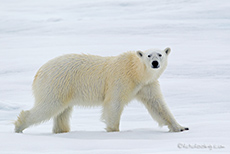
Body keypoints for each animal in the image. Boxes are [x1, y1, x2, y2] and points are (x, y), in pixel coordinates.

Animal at [15, 47, 190, 133]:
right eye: (148, 55)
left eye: (160, 54)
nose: (155, 63)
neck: (136, 72)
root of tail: (39, 71)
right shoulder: (120, 79)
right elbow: (114, 103)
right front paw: (114, 131)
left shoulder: (147, 85)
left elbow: (158, 105)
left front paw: (181, 127)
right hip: (57, 84)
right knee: (48, 106)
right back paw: (18, 127)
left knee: (62, 113)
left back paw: (61, 131)